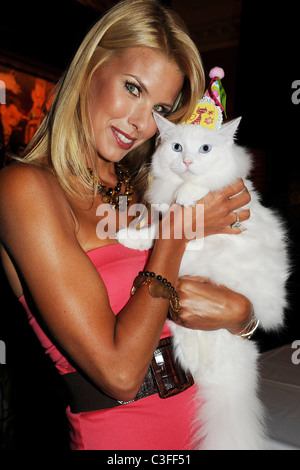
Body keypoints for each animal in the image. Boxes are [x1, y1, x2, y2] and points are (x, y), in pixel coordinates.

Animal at [116, 112, 288, 450]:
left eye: (205, 149)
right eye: (177, 147)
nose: (187, 161)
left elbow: (199, 188)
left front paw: (187, 193)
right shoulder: (165, 219)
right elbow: (154, 233)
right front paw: (127, 237)